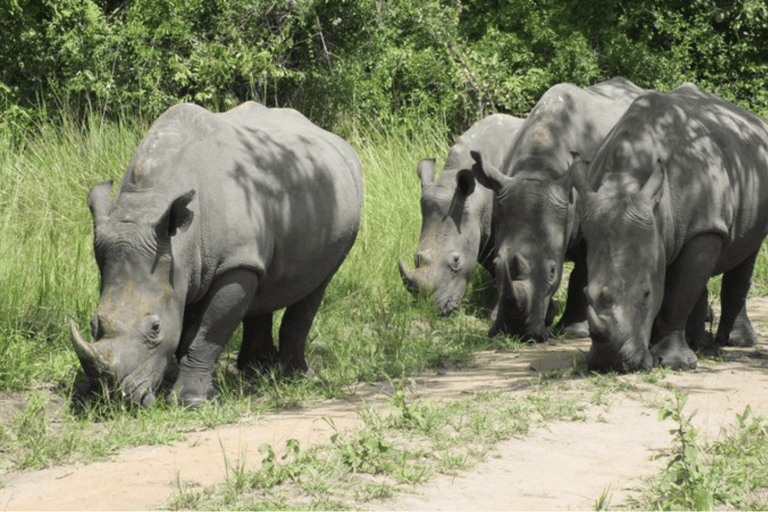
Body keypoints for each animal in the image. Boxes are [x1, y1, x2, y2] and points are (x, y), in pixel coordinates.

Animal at [70, 102, 364, 407]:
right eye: (93, 324)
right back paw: (256, 371)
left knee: (317, 283)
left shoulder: (231, 263)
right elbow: (189, 327)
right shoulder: (183, 264)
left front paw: (192, 401)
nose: (113, 397)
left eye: (155, 328)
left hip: (343, 207)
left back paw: (296, 377)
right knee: (264, 280)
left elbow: (208, 330)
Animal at [469, 77, 645, 342]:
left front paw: (573, 331)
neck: (537, 170)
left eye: (552, 271)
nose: (516, 333)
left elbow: (582, 273)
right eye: (498, 265)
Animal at [573, 84, 768, 372]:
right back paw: (699, 344)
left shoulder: (704, 226)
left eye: (646, 294)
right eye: (586, 294)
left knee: (746, 253)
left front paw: (674, 363)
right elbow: (680, 285)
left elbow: (676, 296)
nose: (610, 363)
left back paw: (736, 343)